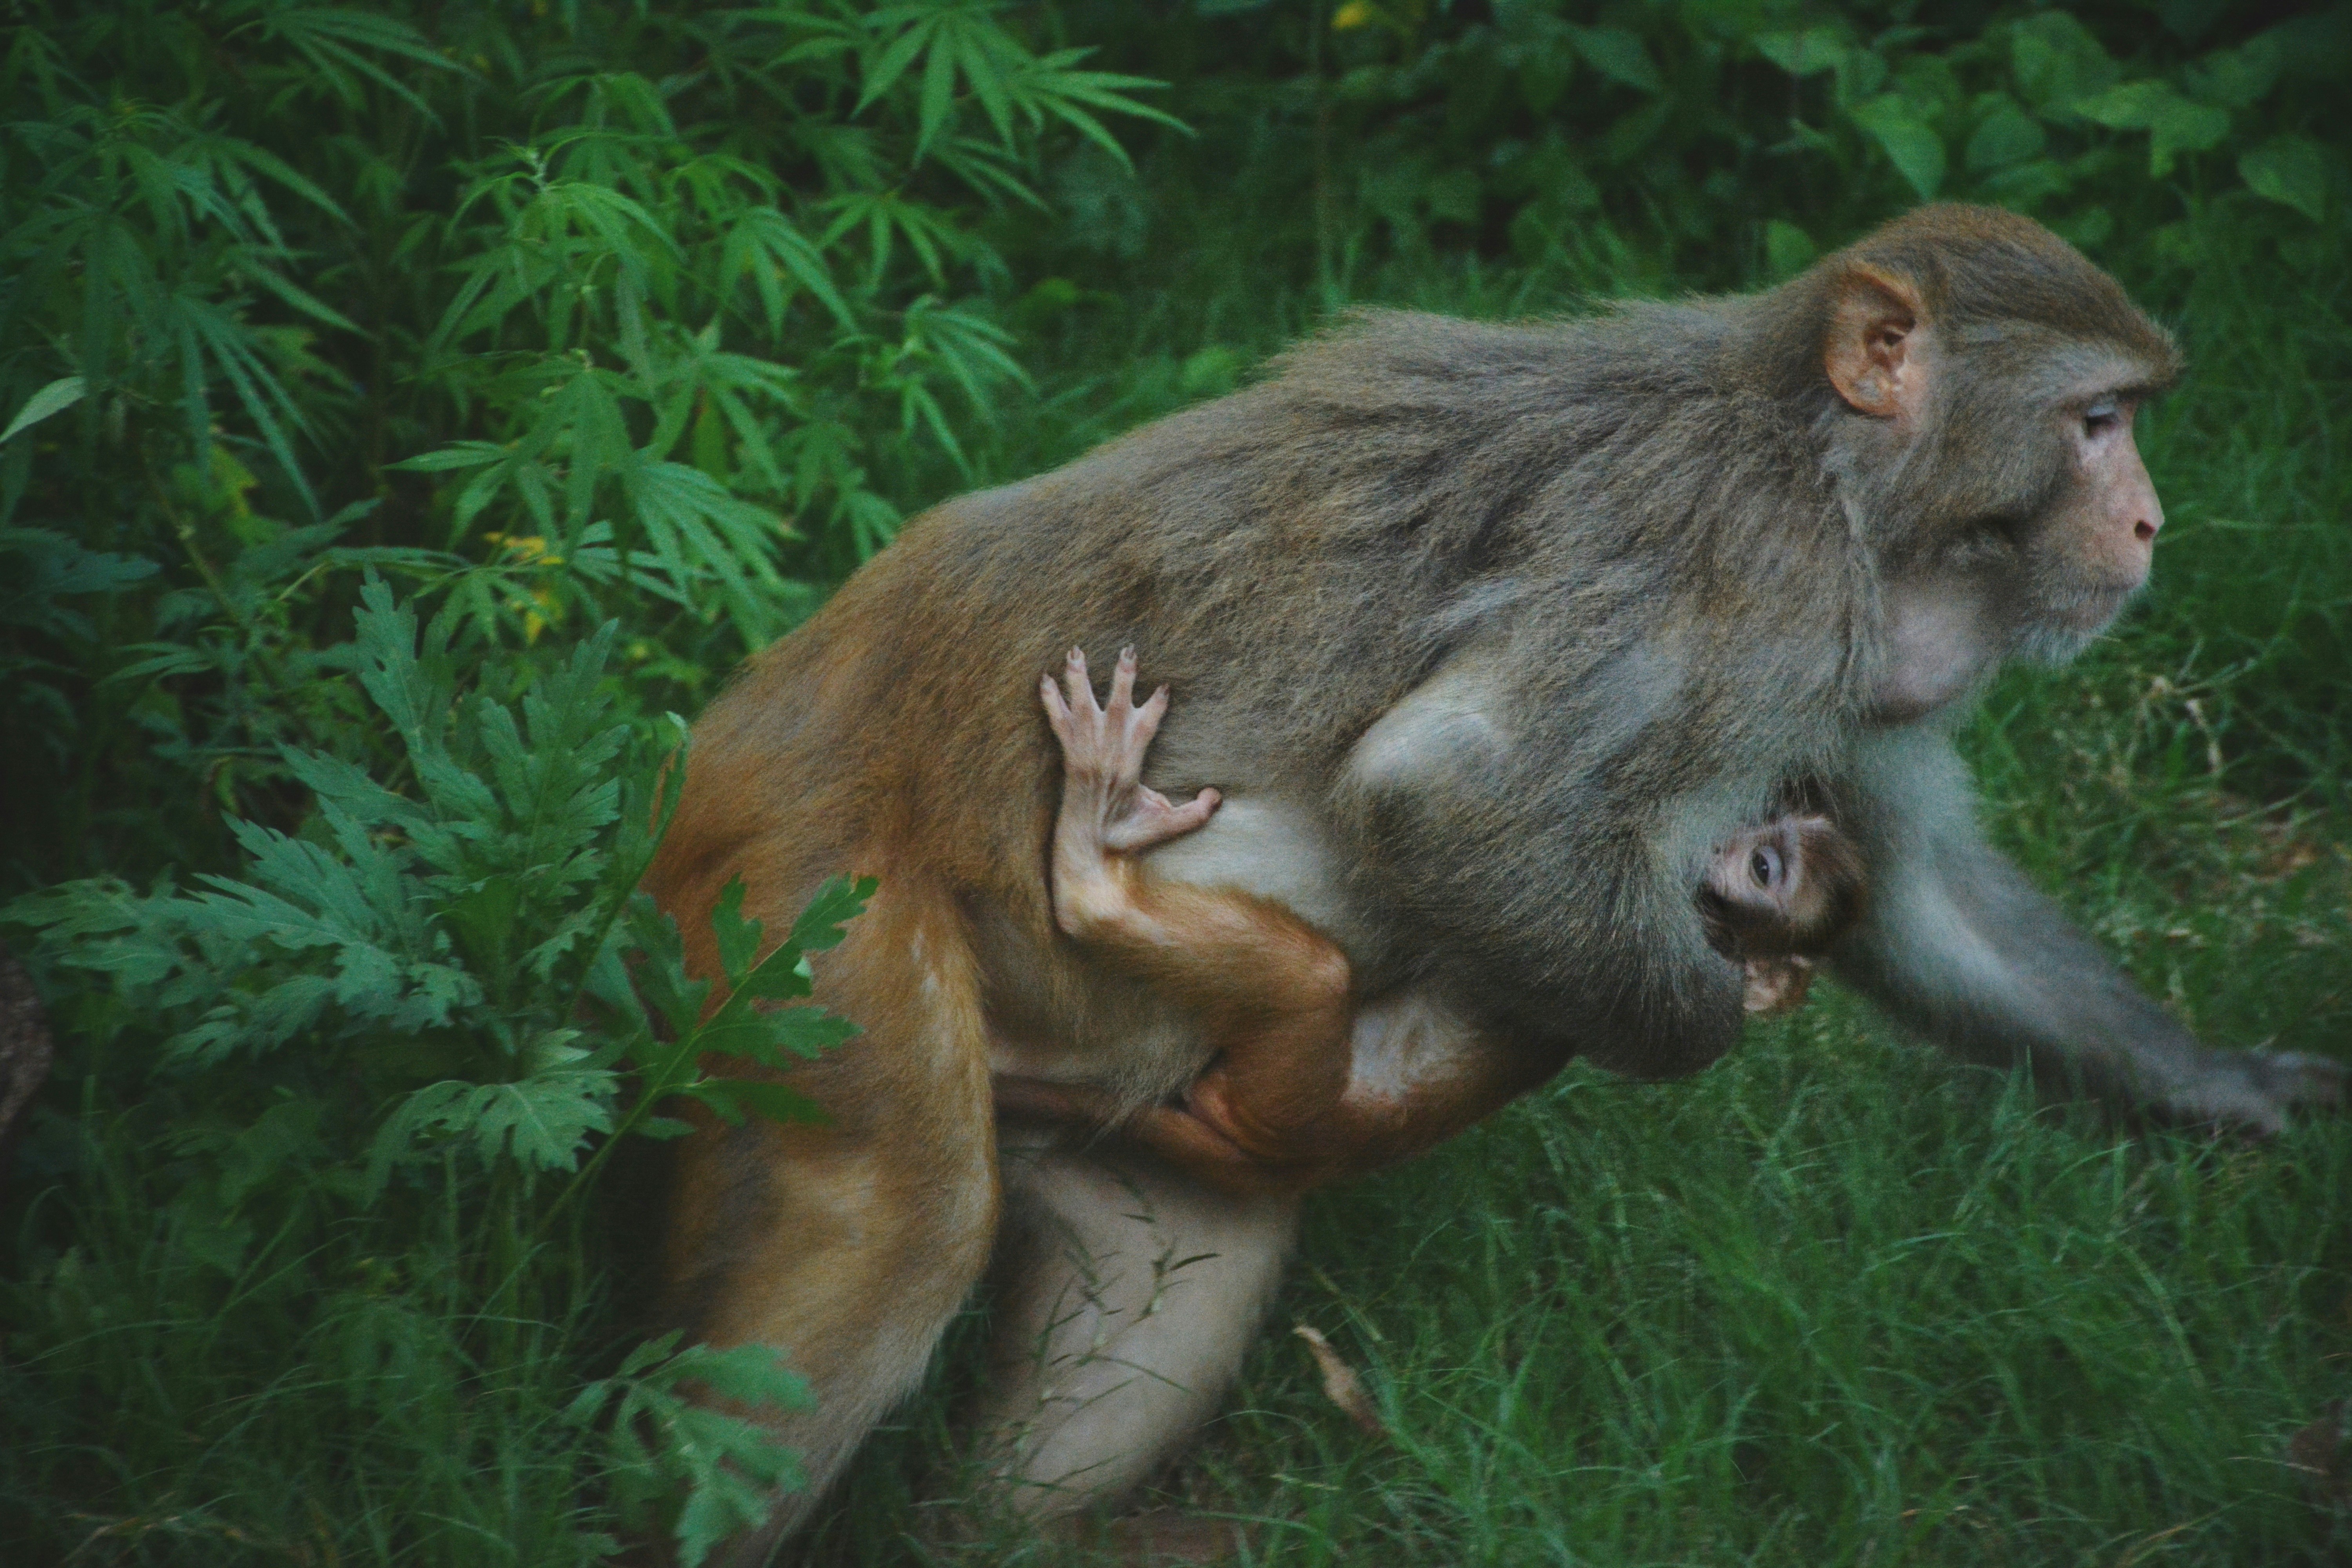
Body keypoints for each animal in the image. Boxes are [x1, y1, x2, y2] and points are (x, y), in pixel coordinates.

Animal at [992, 644, 1868, 1194]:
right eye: (1772, 824)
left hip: (1281, 1096)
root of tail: (1303, 1161)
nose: (1726, 845)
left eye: (1765, 871)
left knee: (1312, 978)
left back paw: (1091, 855)